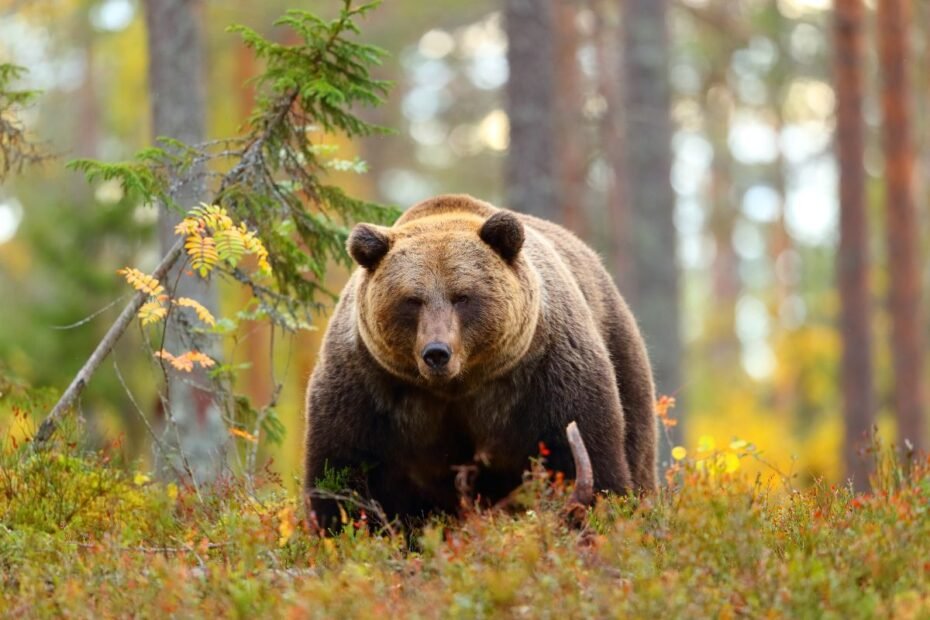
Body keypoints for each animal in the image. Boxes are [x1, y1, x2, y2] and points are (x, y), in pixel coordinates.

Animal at [302, 195, 652, 528]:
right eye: (412, 300)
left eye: (462, 296)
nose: (437, 352)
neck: (457, 387)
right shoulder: (369, 390)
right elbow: (341, 474)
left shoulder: (546, 376)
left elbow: (587, 458)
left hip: (621, 355)